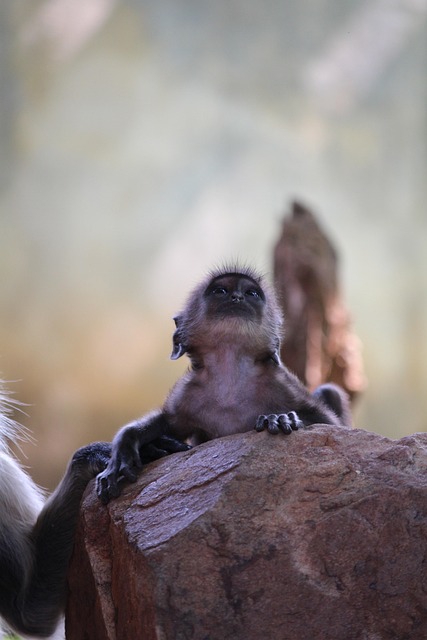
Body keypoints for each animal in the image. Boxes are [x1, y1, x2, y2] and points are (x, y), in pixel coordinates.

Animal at [96, 265, 352, 505]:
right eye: (220, 291)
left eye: (251, 293)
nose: (237, 297)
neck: (230, 371)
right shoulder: (189, 391)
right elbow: (169, 422)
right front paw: (126, 443)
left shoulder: (278, 379)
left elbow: (329, 424)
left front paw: (280, 419)